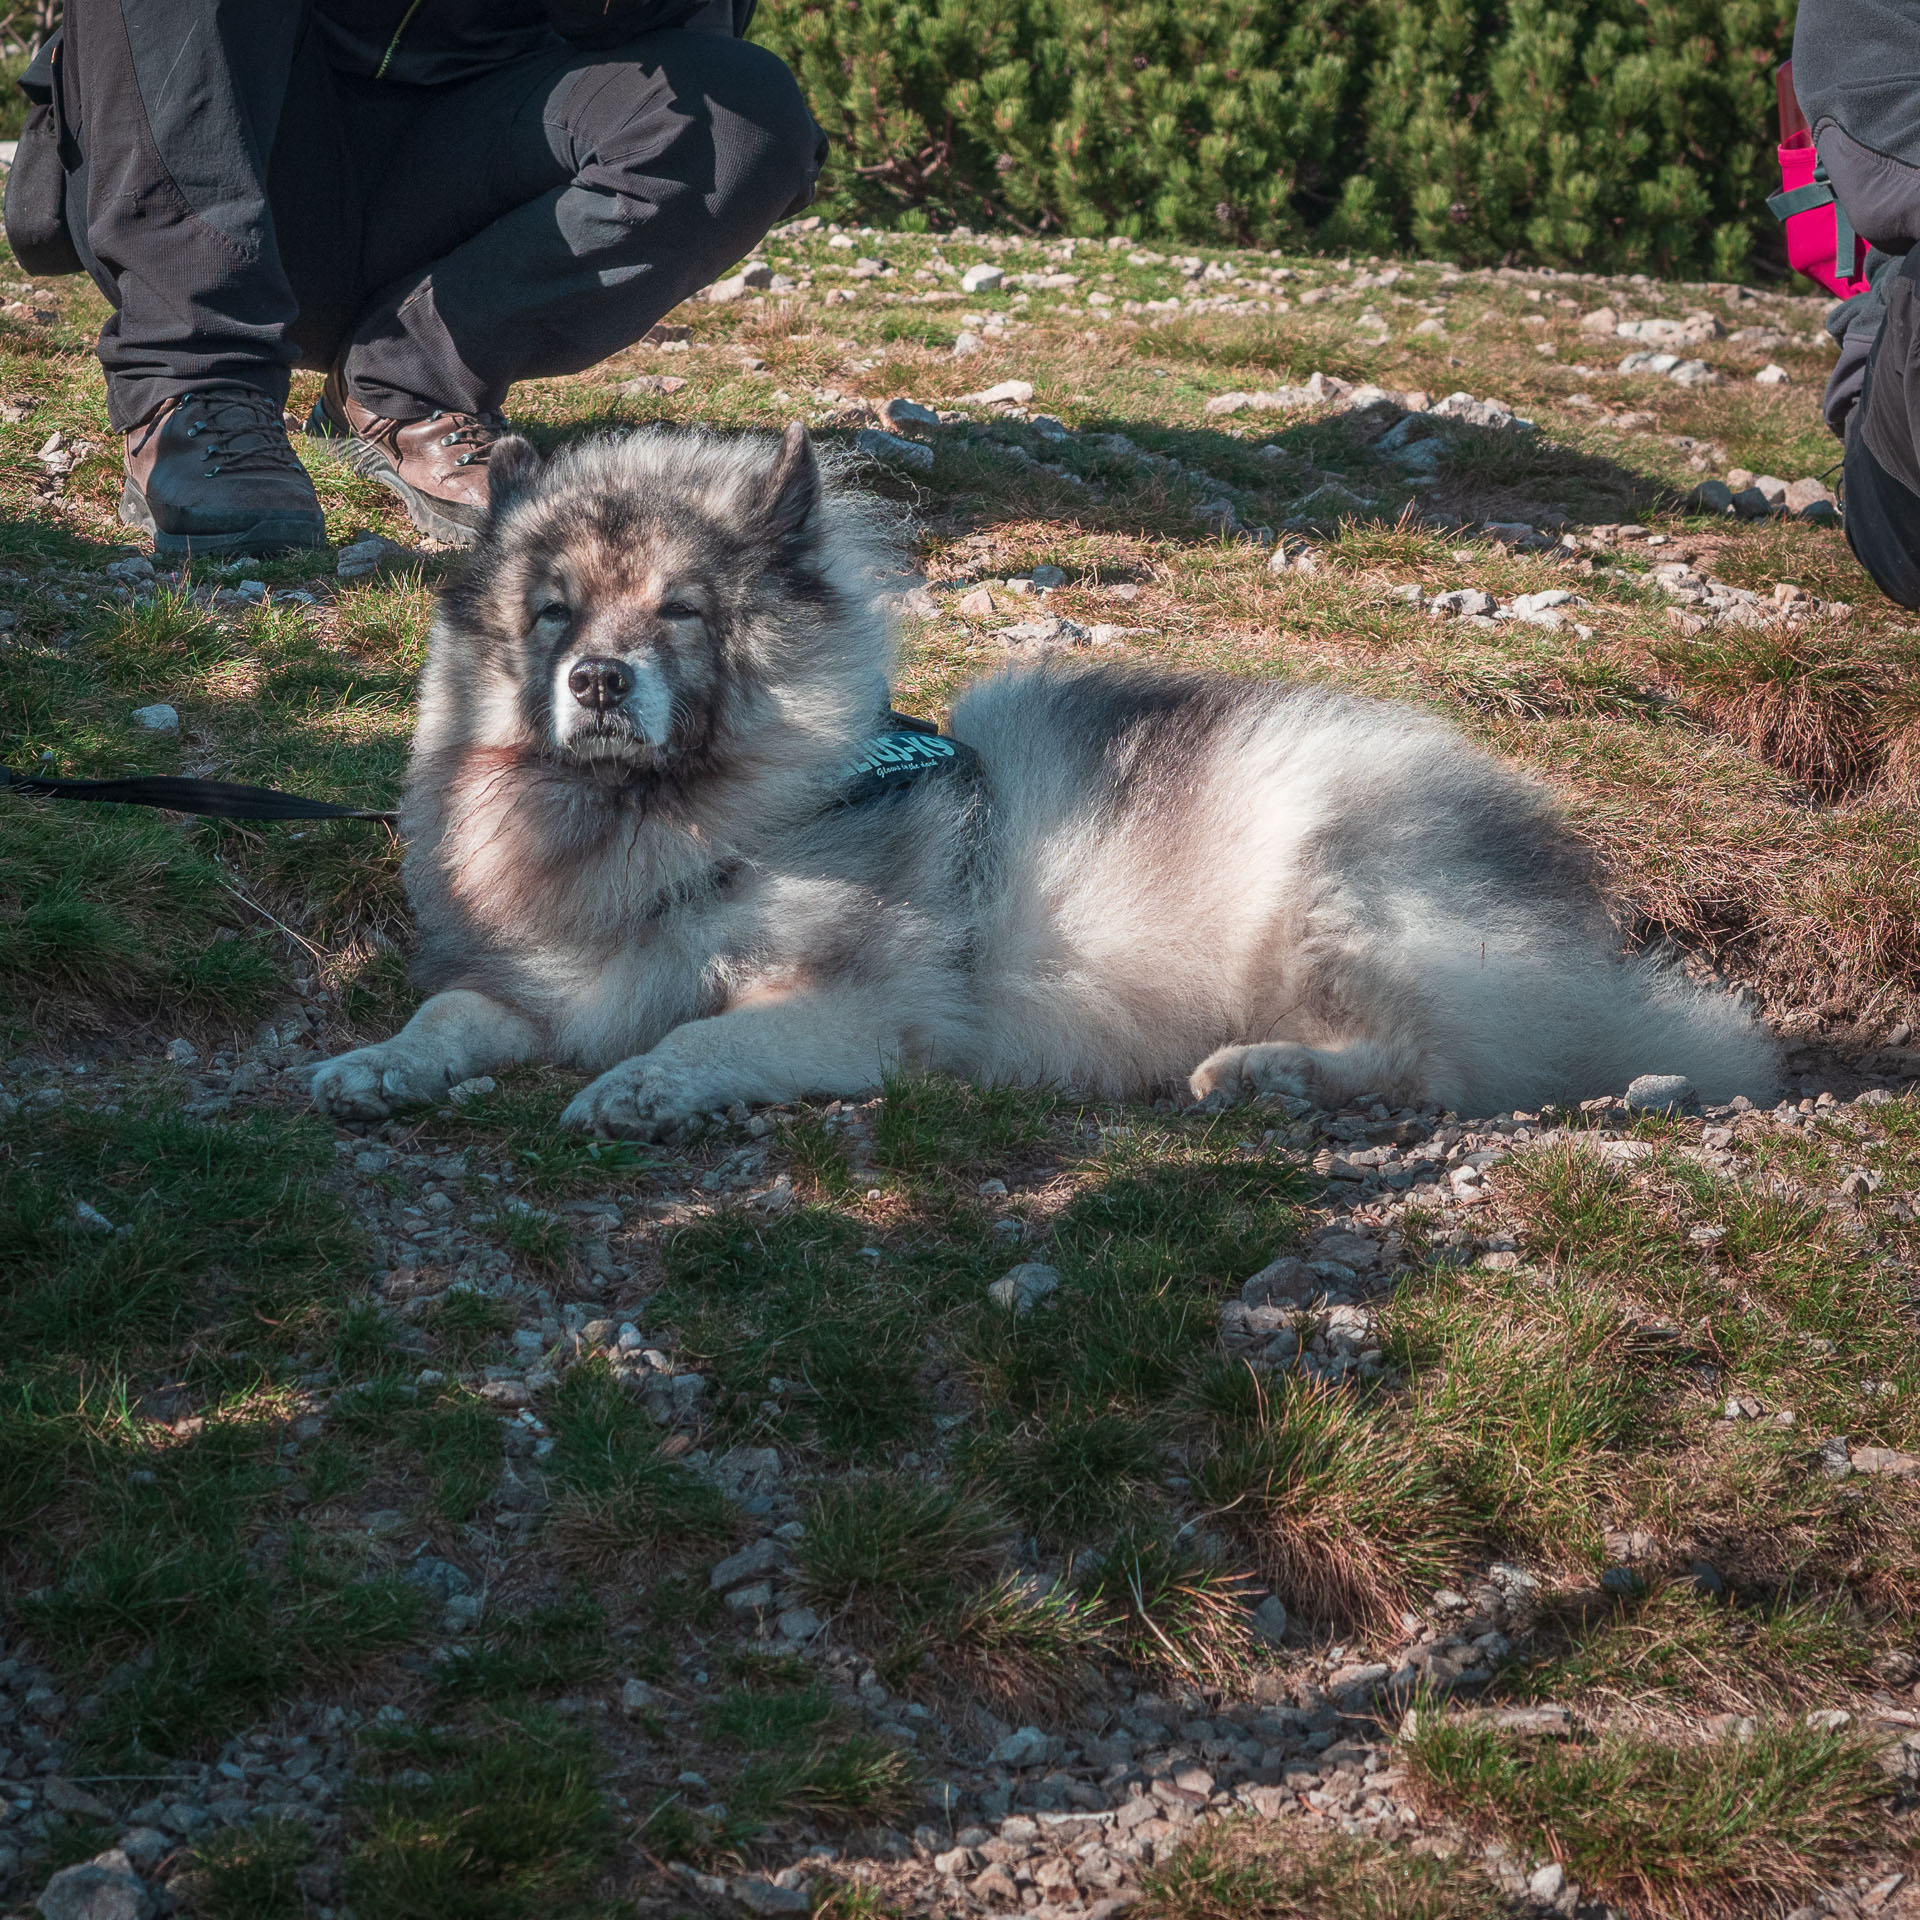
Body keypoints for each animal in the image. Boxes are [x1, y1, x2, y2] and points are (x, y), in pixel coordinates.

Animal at [311, 428, 1766, 1128]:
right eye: (552, 614)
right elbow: (451, 1017)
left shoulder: (863, 1009)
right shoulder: (545, 986)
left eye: (678, 612)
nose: (600, 682)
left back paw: (1270, 1074)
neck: (677, 829)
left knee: (1439, 1068)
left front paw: (647, 1090)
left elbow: (709, 1035)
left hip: (1337, 882)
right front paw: (376, 1065)